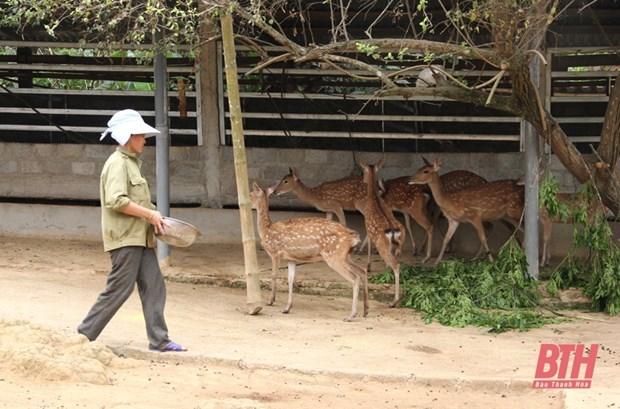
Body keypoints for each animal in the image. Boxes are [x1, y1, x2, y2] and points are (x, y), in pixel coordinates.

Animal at [251, 181, 368, 318]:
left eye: (250, 194)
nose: (246, 202)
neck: (266, 230)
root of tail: (353, 237)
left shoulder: (275, 252)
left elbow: (274, 275)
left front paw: (270, 301)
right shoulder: (291, 259)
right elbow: (291, 280)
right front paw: (287, 308)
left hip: (335, 256)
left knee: (354, 278)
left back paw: (352, 315)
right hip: (345, 255)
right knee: (362, 271)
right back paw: (365, 310)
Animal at [356, 160, 404, 306]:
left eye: (363, 171)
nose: (363, 179)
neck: (373, 198)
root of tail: (393, 230)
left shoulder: (367, 225)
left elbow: (368, 242)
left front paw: (368, 266)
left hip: (382, 244)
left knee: (396, 264)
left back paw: (394, 301)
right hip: (400, 243)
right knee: (396, 259)